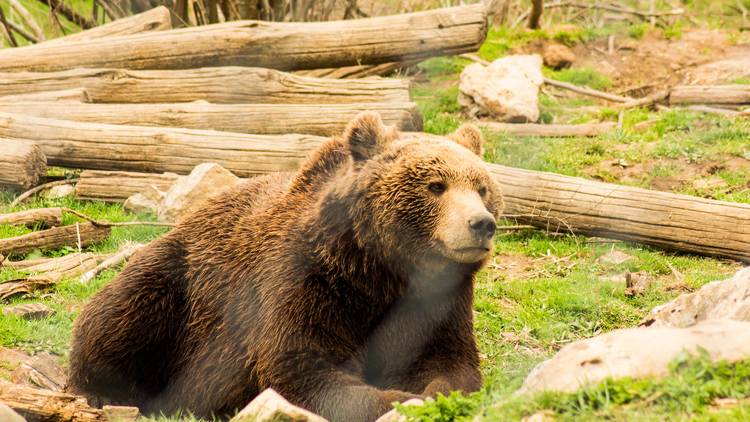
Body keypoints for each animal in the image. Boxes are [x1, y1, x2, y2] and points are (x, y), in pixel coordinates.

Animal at [69, 110, 506, 420]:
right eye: (436, 186)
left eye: (482, 186)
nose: (481, 223)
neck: (380, 270)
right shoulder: (306, 280)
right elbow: (300, 365)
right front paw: (397, 400)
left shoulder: (437, 303)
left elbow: (450, 364)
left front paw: (431, 394)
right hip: (181, 282)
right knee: (121, 313)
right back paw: (104, 391)